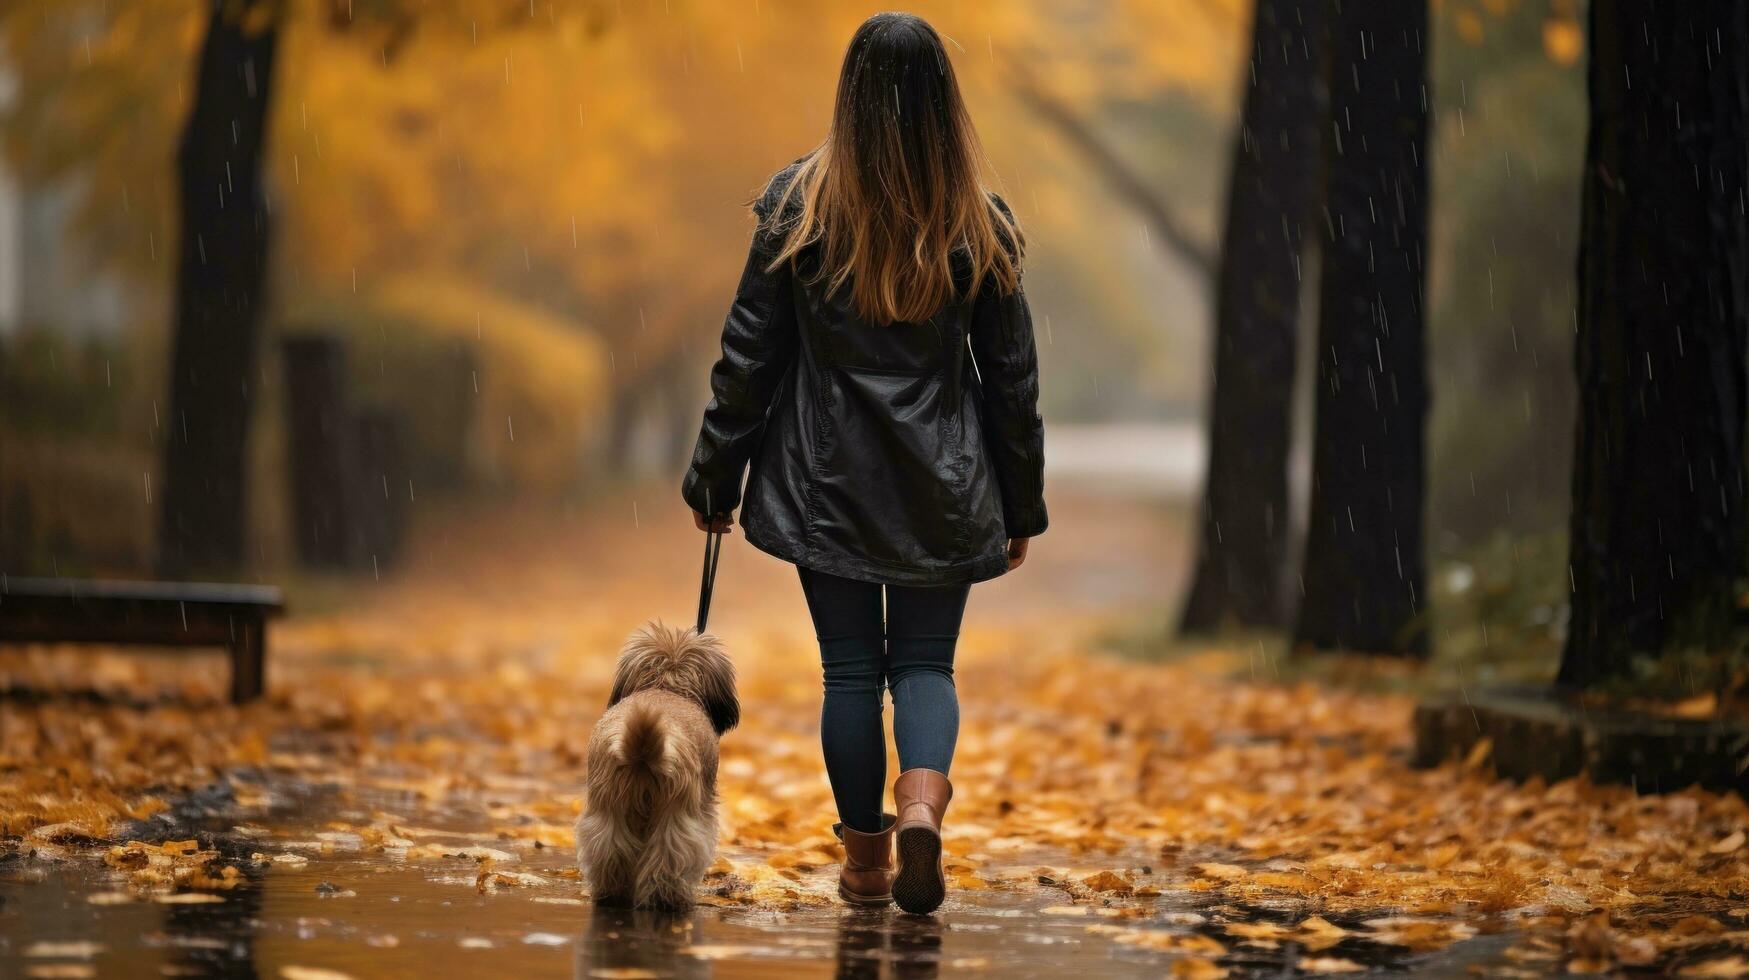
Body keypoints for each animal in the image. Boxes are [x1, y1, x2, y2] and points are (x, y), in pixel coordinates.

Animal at [577, 623, 734, 910]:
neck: (666, 687)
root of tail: (643, 750)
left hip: (608, 812)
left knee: (610, 854)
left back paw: (613, 894)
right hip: (677, 816)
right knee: (669, 861)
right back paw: (668, 900)